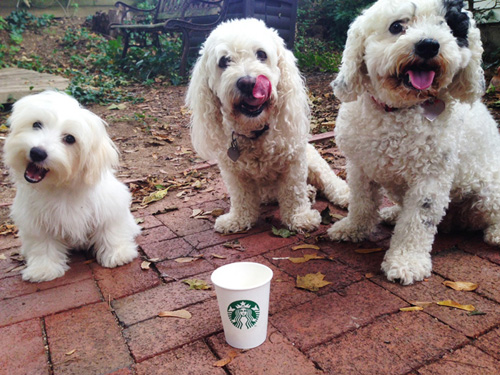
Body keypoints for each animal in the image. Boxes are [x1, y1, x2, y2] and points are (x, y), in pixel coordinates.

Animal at [3, 91, 141, 282]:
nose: (37, 152)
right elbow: (42, 244)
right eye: (36, 124)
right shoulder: (36, 221)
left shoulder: (108, 208)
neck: (61, 186)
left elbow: (110, 230)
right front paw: (43, 269)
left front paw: (118, 254)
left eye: (70, 139)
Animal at [186, 19, 350, 235]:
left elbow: (293, 192)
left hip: (313, 158)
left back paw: (343, 194)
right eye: (224, 61)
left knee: (328, 180)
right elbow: (241, 197)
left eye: (261, 54)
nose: (248, 82)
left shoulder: (294, 162)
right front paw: (238, 219)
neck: (256, 132)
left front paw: (299, 218)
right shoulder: (233, 172)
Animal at [328, 0, 500, 284]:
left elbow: (417, 222)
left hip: (488, 192)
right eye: (397, 26)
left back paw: (496, 233)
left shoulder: (430, 178)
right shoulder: (360, 167)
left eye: (449, 26)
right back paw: (392, 213)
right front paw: (353, 228)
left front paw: (406, 262)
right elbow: (362, 203)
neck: (398, 111)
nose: (428, 45)